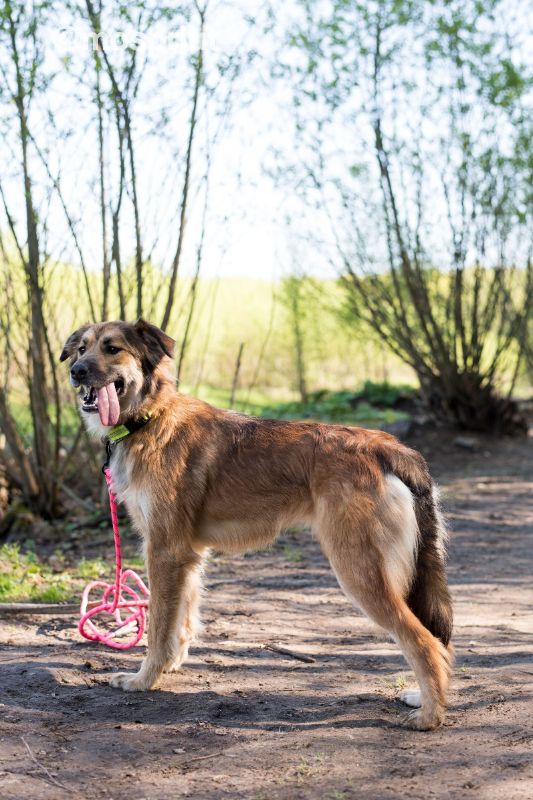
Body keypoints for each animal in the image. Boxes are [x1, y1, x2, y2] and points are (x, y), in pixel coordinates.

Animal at [62, 318, 454, 732]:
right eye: (81, 349)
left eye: (112, 348)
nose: (76, 372)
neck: (151, 417)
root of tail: (385, 446)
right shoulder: (185, 556)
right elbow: (181, 621)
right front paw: (168, 667)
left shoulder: (164, 552)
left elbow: (157, 627)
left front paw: (144, 679)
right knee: (434, 639)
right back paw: (424, 698)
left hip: (359, 571)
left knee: (422, 640)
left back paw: (430, 714)